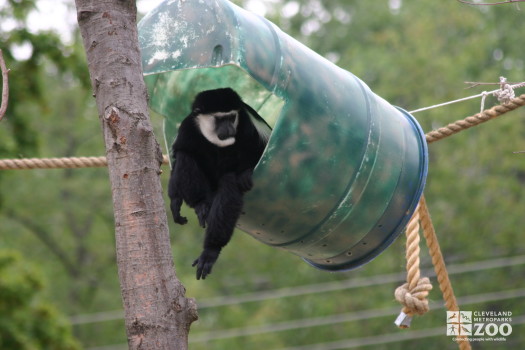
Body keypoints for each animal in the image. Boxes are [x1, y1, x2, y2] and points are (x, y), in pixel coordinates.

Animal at [168, 87, 272, 278]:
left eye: (231, 117)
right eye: (220, 119)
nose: (230, 129)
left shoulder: (248, 127)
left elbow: (260, 151)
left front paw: (246, 174)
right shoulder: (188, 128)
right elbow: (180, 153)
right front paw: (175, 201)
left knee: (229, 184)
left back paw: (211, 250)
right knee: (186, 156)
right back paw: (201, 205)